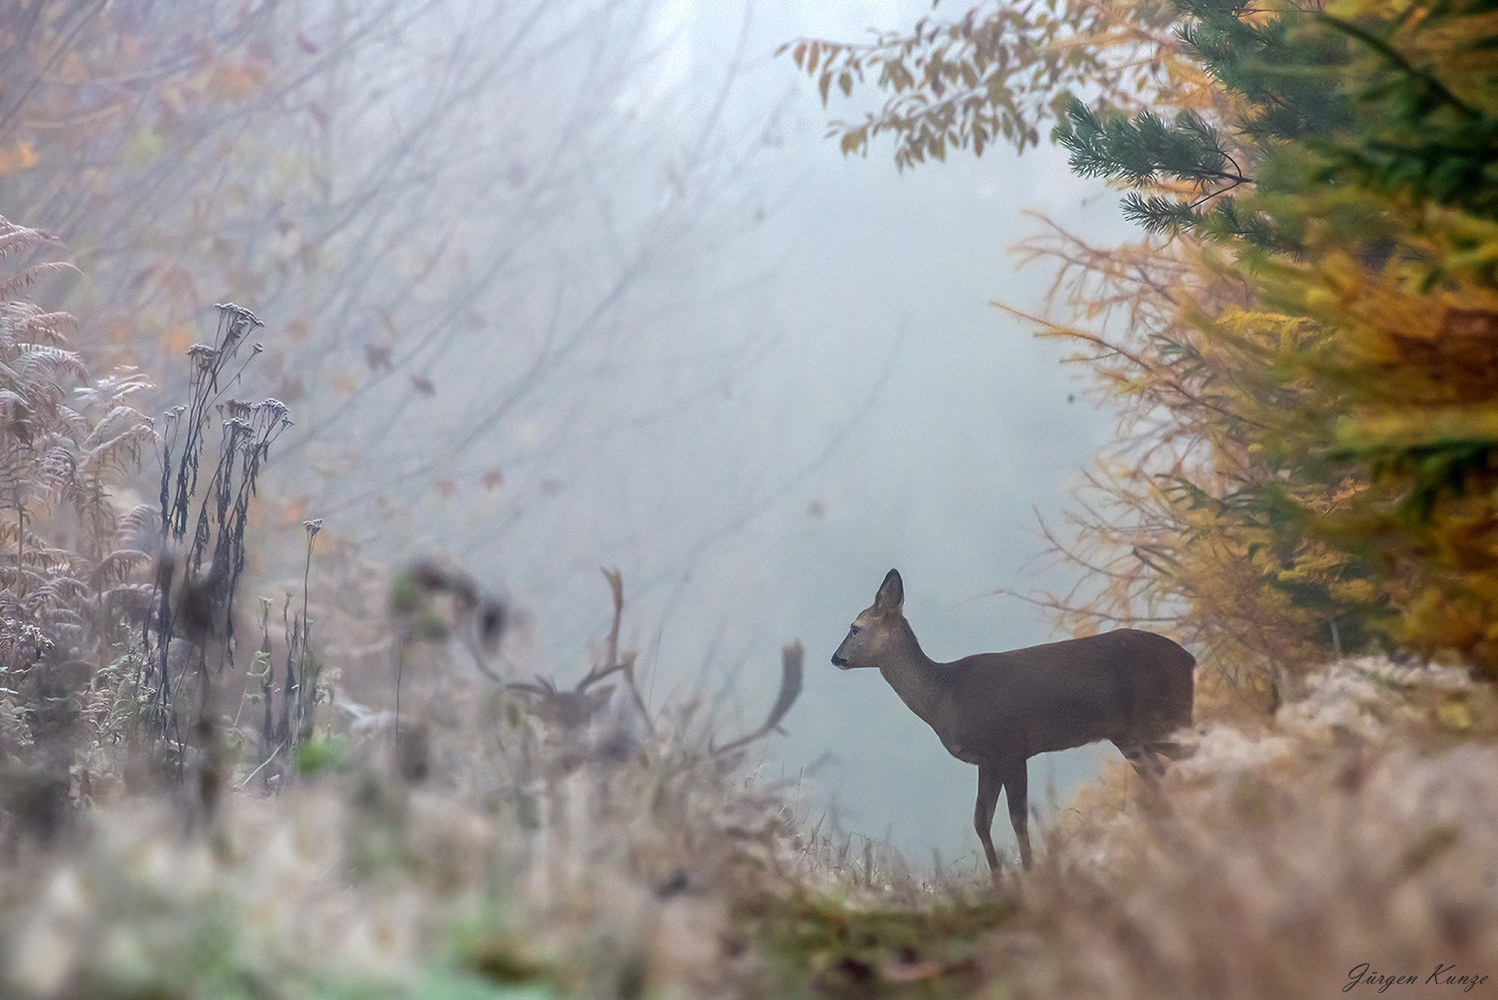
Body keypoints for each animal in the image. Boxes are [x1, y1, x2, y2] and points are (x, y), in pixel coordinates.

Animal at [832, 568, 1192, 868]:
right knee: (1162, 776)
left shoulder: (1011, 749)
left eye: (854, 628)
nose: (836, 658)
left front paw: (1031, 874)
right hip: (1131, 736)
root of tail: (1189, 659)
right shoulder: (987, 761)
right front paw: (1000, 880)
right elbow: (981, 821)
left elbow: (1017, 818)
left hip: (1161, 718)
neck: (944, 696)